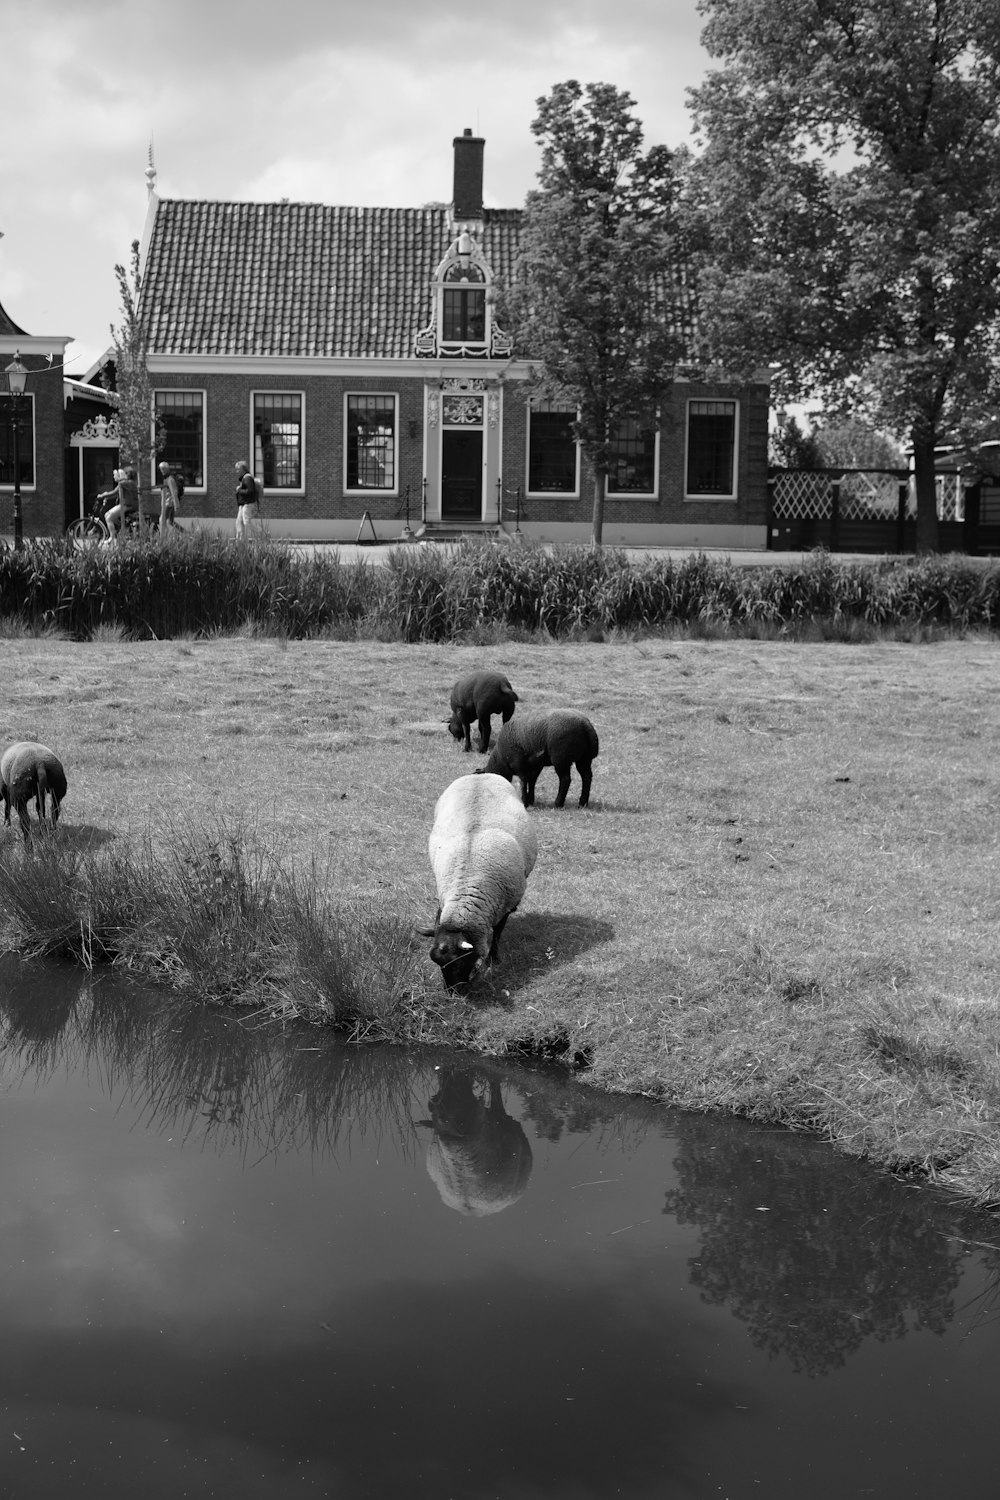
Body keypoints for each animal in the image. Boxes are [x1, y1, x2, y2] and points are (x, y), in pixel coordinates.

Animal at [419, 774, 536, 996]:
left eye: (458, 962)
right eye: (438, 964)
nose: (452, 994)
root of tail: (479, 775)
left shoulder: (505, 906)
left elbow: (497, 934)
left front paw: (494, 959)